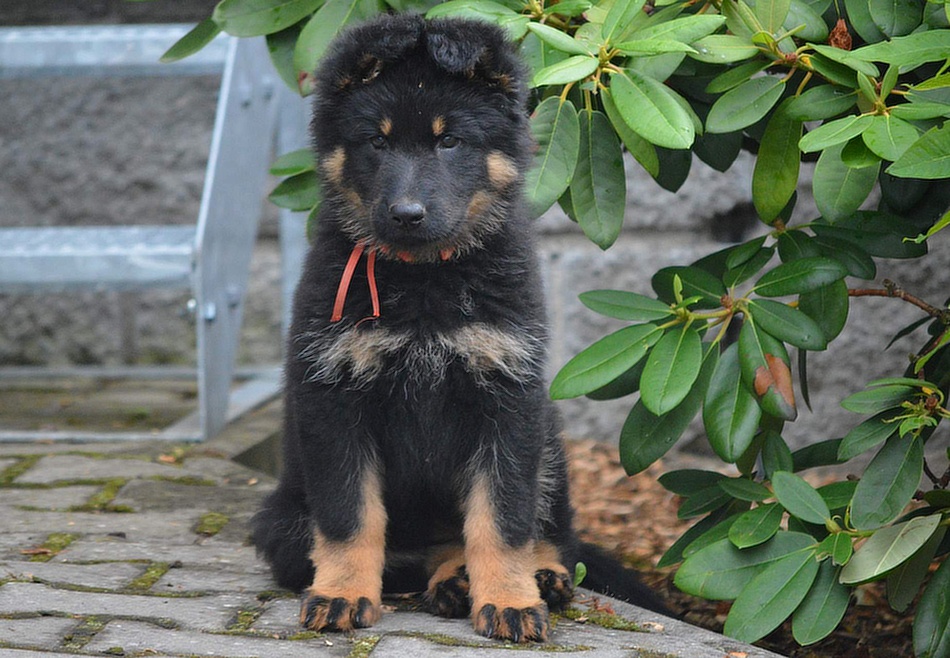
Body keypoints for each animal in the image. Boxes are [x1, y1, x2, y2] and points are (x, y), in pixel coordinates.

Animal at [252, 13, 667, 643]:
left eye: (449, 142)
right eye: (377, 141)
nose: (406, 215)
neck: (424, 278)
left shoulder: (508, 398)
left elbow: (502, 518)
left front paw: (511, 600)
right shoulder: (334, 399)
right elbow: (351, 515)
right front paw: (343, 592)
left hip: (547, 441)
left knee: (546, 534)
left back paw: (525, 578)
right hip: (283, 523)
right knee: (400, 550)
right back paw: (448, 579)